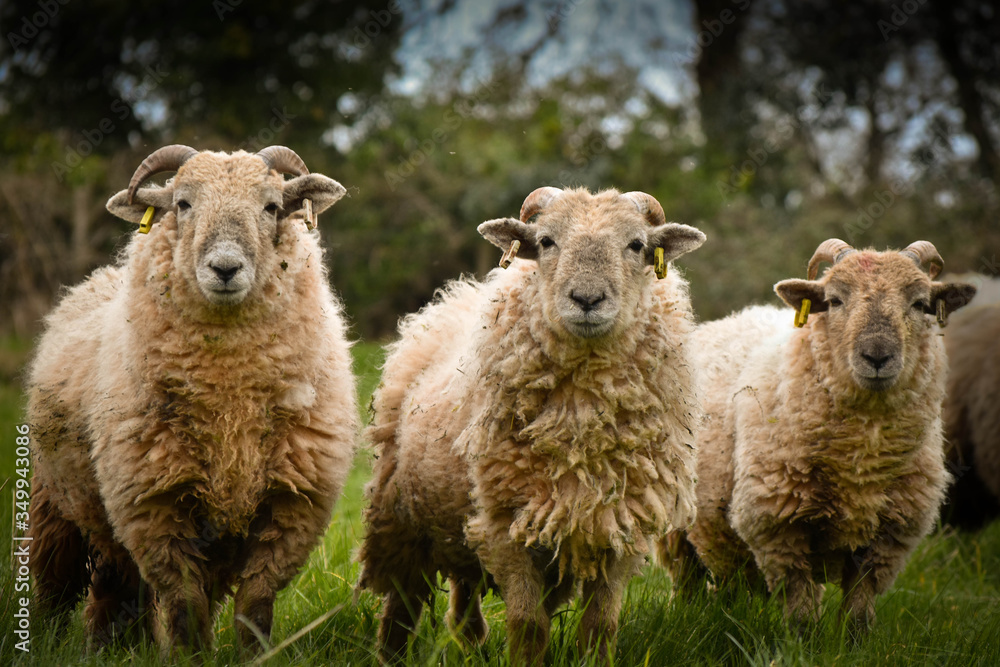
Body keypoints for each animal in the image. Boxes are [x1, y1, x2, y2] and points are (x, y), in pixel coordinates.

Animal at [26, 145, 359, 654]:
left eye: (272, 207)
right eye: (182, 204)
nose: (225, 268)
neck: (230, 401)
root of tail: (97, 278)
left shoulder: (292, 504)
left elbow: (255, 604)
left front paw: (253, 658)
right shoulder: (152, 502)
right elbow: (184, 601)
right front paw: (190, 657)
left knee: (117, 581)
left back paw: (123, 647)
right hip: (54, 503)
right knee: (60, 581)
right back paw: (63, 640)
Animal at [358, 186, 706, 664]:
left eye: (636, 244)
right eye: (545, 241)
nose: (587, 299)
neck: (581, 423)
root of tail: (456, 294)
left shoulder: (619, 527)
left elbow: (600, 626)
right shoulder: (506, 525)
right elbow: (528, 627)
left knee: (462, 605)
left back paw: (473, 645)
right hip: (400, 516)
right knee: (400, 605)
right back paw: (391, 652)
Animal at [664, 239, 976, 633]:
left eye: (920, 304)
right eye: (835, 300)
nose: (877, 356)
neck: (862, 463)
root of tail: (728, 318)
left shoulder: (887, 540)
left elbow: (858, 615)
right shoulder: (778, 528)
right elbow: (801, 616)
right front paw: (802, 640)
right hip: (678, 527)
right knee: (687, 579)